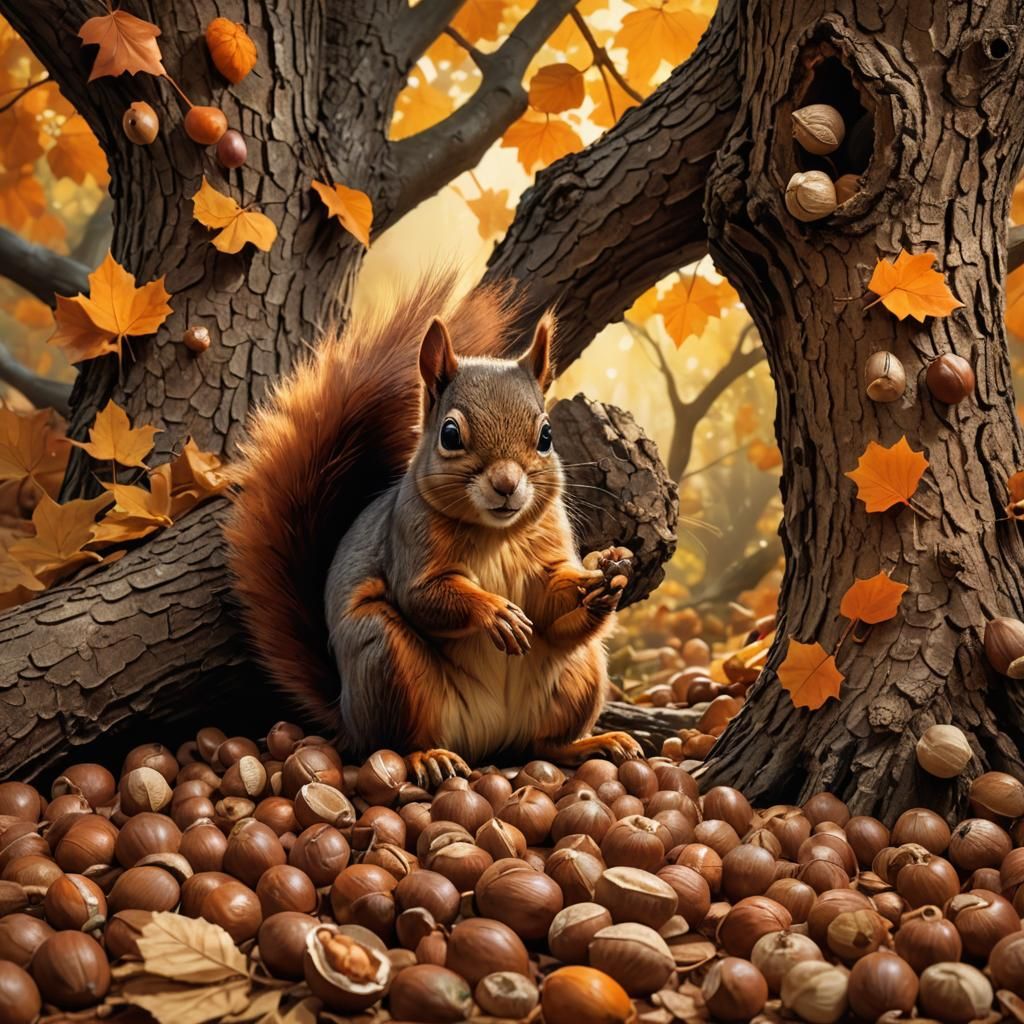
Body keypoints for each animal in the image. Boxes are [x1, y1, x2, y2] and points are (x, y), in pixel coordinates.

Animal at [225, 269, 642, 786]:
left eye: (546, 435)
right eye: (450, 434)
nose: (507, 484)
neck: (497, 533)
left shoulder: (548, 552)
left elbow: (551, 601)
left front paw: (605, 577)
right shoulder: (409, 543)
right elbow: (425, 597)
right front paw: (494, 613)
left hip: (578, 675)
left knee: (543, 743)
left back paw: (593, 743)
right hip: (387, 660)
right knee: (394, 741)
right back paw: (429, 757)